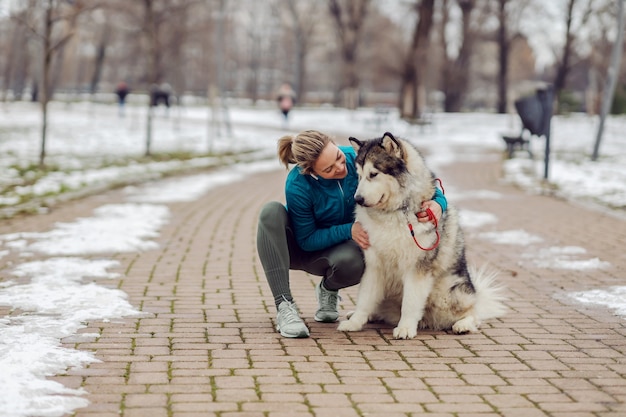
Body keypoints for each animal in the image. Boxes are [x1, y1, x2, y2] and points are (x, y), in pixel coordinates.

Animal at [334, 132, 504, 338]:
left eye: (373, 174)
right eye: (358, 176)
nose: (358, 199)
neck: (394, 213)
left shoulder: (417, 268)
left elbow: (410, 302)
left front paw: (406, 327)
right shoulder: (374, 265)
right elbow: (365, 298)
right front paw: (356, 321)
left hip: (449, 292)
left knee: (473, 313)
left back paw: (463, 324)